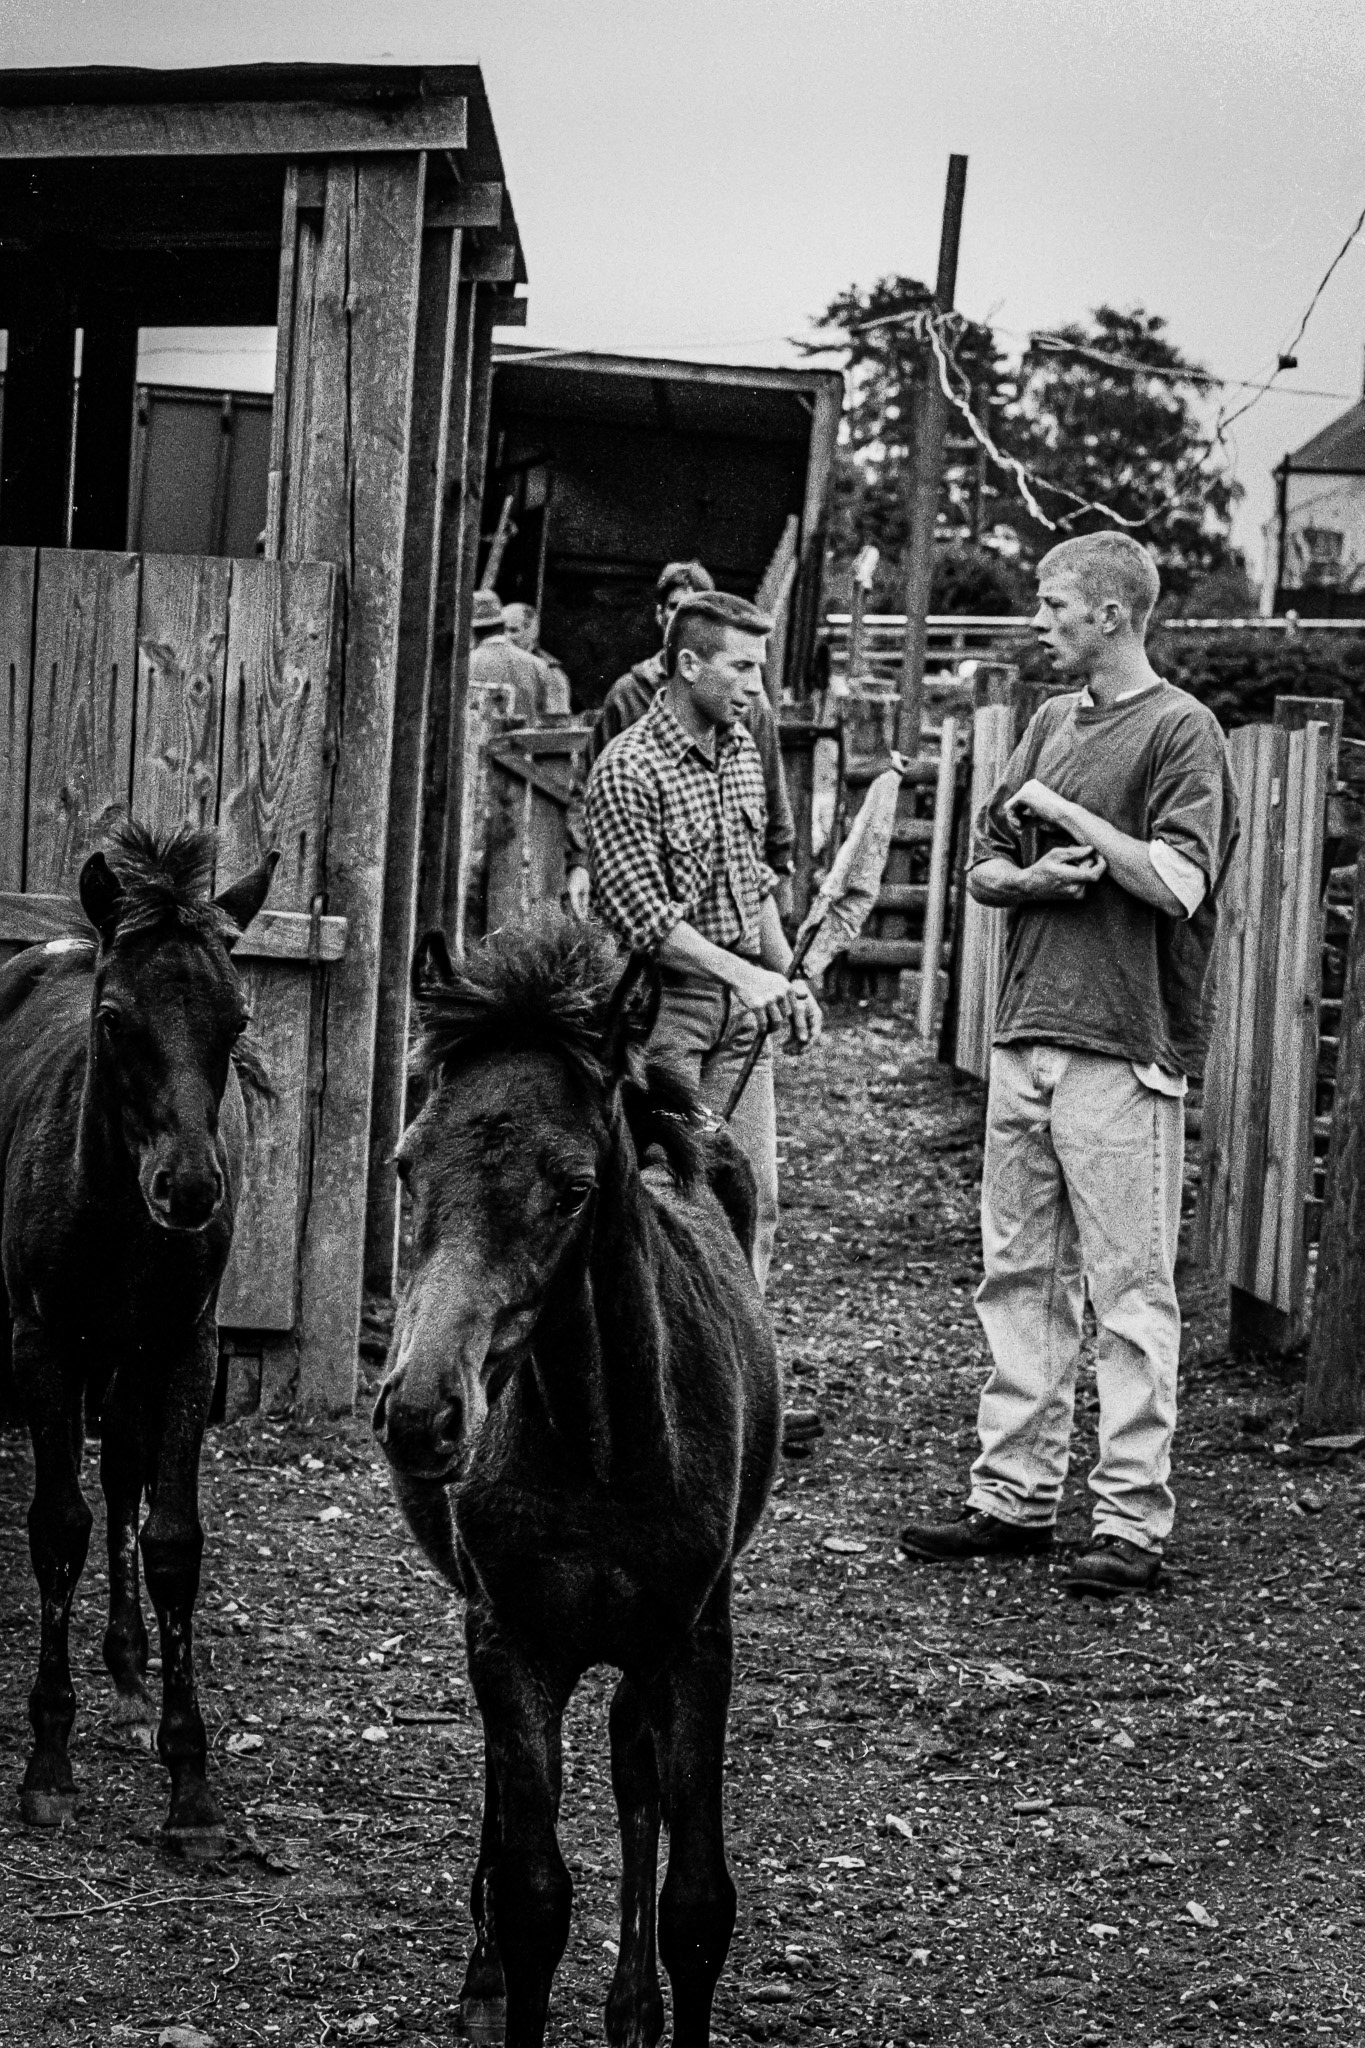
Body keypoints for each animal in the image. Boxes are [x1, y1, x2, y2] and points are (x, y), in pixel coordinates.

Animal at [0, 820, 277, 1858]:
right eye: (115, 1019)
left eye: (235, 1023)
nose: (190, 1188)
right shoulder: (41, 1338)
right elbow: (55, 1526)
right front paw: (47, 1765)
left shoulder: (185, 1344)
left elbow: (170, 1538)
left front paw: (190, 1784)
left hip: (129, 1356)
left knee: (122, 1465)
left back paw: (125, 1673)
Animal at [372, 914, 782, 2048]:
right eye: (404, 1166)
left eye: (573, 1189)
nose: (421, 1413)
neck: (604, 1451)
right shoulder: (511, 1639)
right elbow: (533, 1895)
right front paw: (497, 1975)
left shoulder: (693, 1641)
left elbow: (698, 1901)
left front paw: (651, 1998)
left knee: (635, 1769)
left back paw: (632, 2005)